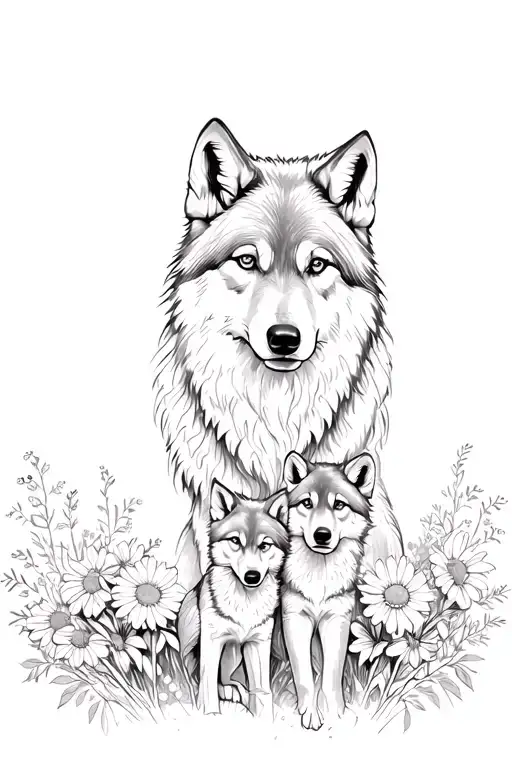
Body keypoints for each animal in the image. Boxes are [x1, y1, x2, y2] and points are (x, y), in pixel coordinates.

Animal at [177, 480, 288, 718]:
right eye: (235, 540)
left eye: (264, 545)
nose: (252, 576)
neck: (245, 603)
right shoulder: (212, 640)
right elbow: (207, 687)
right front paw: (210, 715)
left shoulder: (258, 643)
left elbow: (262, 691)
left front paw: (263, 718)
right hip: (194, 634)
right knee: (193, 676)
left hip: (235, 651)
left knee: (227, 679)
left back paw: (234, 691)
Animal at [280, 450, 375, 730]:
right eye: (307, 503)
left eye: (339, 505)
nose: (322, 535)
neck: (319, 580)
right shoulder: (295, 618)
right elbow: (304, 677)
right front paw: (310, 714)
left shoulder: (337, 619)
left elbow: (331, 677)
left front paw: (338, 714)